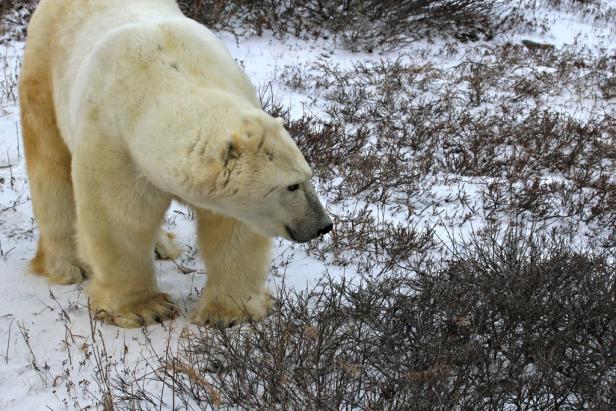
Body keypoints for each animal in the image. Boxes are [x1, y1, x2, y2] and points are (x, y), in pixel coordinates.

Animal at [20, 0, 332, 328]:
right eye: (292, 186)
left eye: (309, 175)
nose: (323, 225)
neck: (162, 75)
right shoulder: (113, 140)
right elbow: (118, 219)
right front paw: (145, 308)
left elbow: (232, 227)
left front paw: (226, 312)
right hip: (43, 73)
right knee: (50, 166)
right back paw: (68, 265)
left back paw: (162, 246)